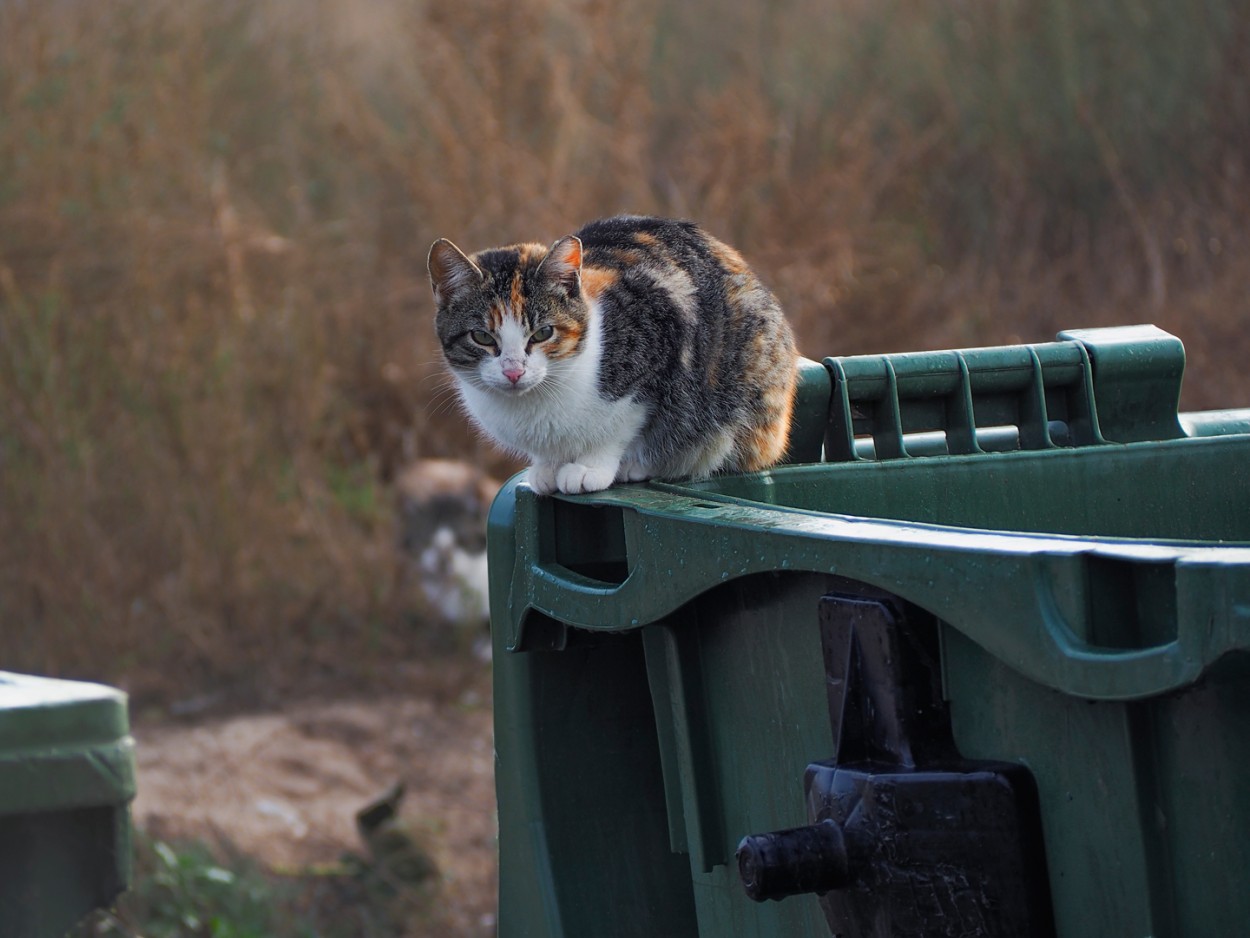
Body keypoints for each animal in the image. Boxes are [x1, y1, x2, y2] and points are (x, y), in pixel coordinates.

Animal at [430, 216, 795, 495]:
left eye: (543, 333)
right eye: (481, 337)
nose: (513, 371)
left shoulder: (659, 338)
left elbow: (617, 428)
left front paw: (591, 467)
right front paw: (547, 466)